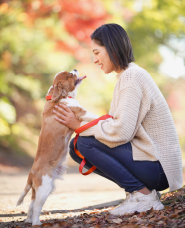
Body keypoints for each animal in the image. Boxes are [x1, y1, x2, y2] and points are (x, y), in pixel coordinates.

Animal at [16, 69, 99, 224]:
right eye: (69, 75)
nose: (75, 69)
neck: (58, 97)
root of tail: (31, 171)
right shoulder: (81, 111)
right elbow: (95, 116)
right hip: (44, 188)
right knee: (36, 207)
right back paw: (36, 223)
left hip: (39, 190)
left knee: (31, 205)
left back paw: (29, 220)